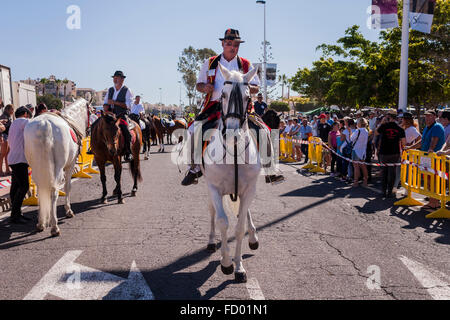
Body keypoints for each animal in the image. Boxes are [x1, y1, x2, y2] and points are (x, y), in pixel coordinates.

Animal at [24, 99, 90, 236]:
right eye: (91, 112)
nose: (89, 130)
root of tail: (44, 125)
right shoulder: (70, 166)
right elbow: (67, 187)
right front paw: (68, 210)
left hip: (37, 168)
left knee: (41, 189)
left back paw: (41, 222)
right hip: (58, 168)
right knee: (53, 192)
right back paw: (54, 226)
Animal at [201, 63, 260, 282]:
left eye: (247, 97)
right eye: (224, 95)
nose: (233, 133)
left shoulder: (249, 189)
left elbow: (239, 226)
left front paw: (239, 267)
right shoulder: (214, 188)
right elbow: (222, 222)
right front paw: (226, 263)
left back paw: (253, 237)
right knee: (212, 212)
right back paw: (211, 241)